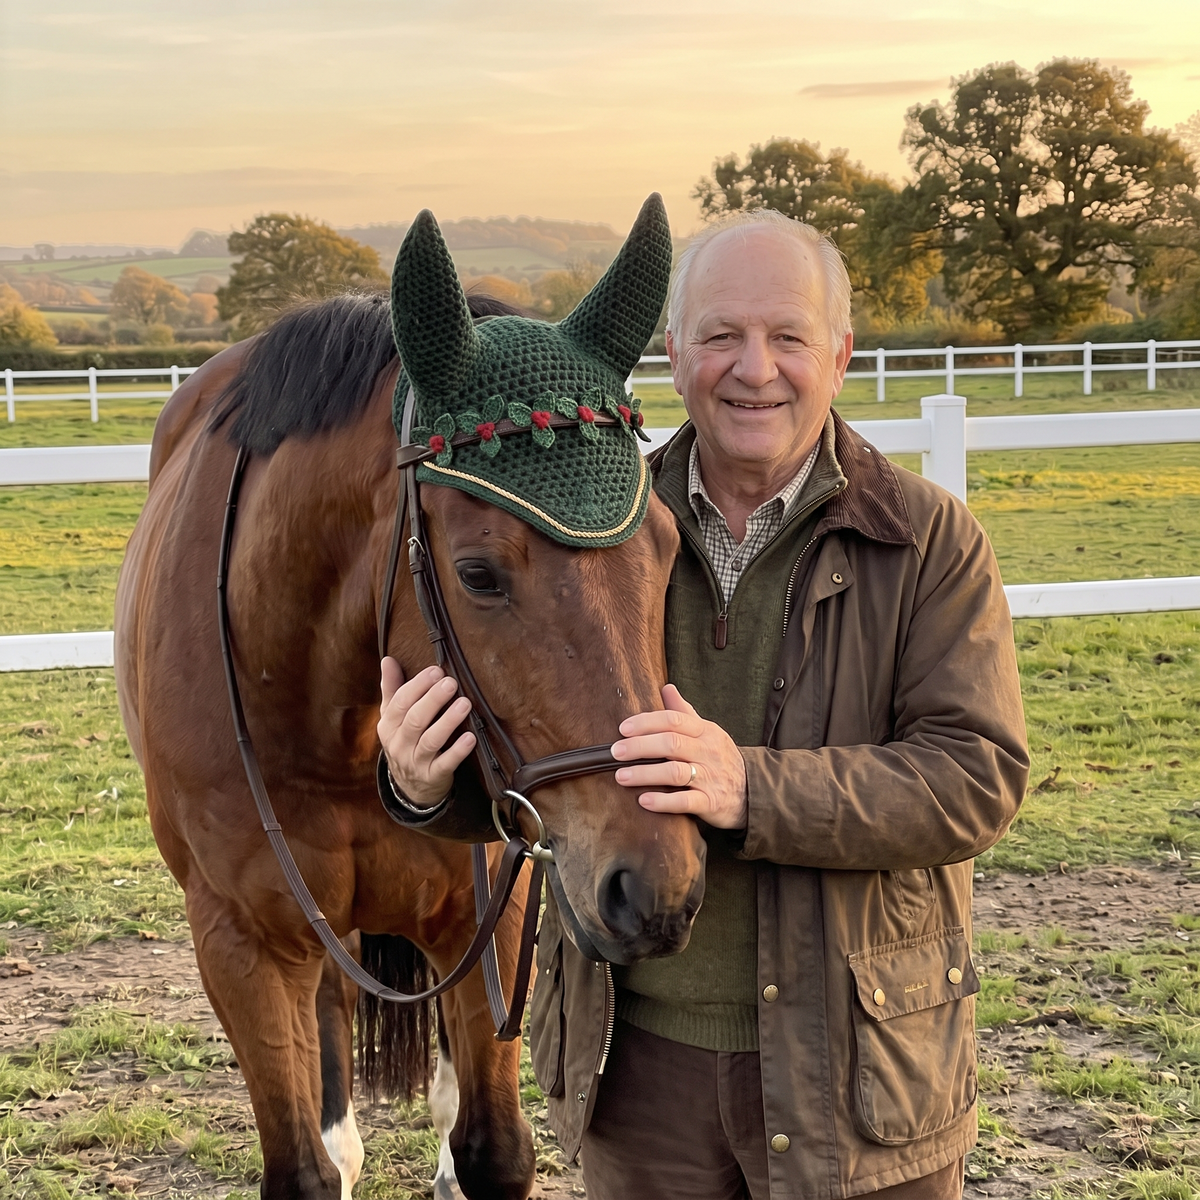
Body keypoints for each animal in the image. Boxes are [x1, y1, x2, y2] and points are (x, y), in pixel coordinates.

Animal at [115, 210, 706, 1198]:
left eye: (664, 542)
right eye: (479, 573)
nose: (657, 887)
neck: (330, 725)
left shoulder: (489, 913)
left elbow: (493, 1150)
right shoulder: (241, 945)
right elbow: (304, 1169)